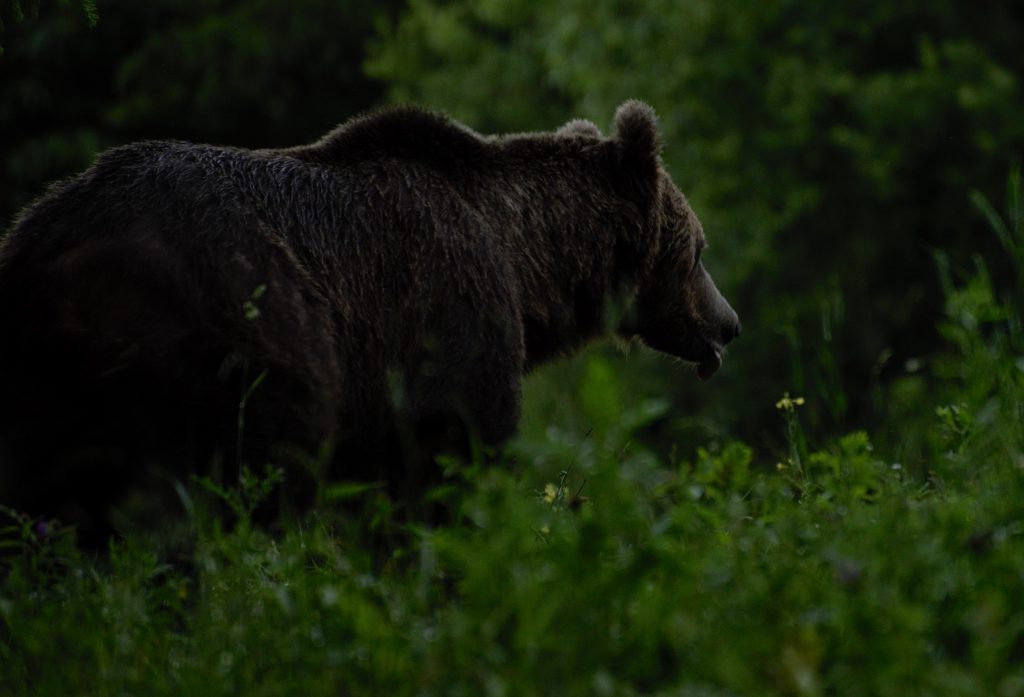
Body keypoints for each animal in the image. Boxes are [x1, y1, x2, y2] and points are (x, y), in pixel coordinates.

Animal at [0, 97, 737, 532]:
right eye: (698, 249)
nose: (728, 321)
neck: (525, 260)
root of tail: (51, 240)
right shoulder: (445, 312)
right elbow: (451, 453)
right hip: (223, 335)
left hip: (47, 380)